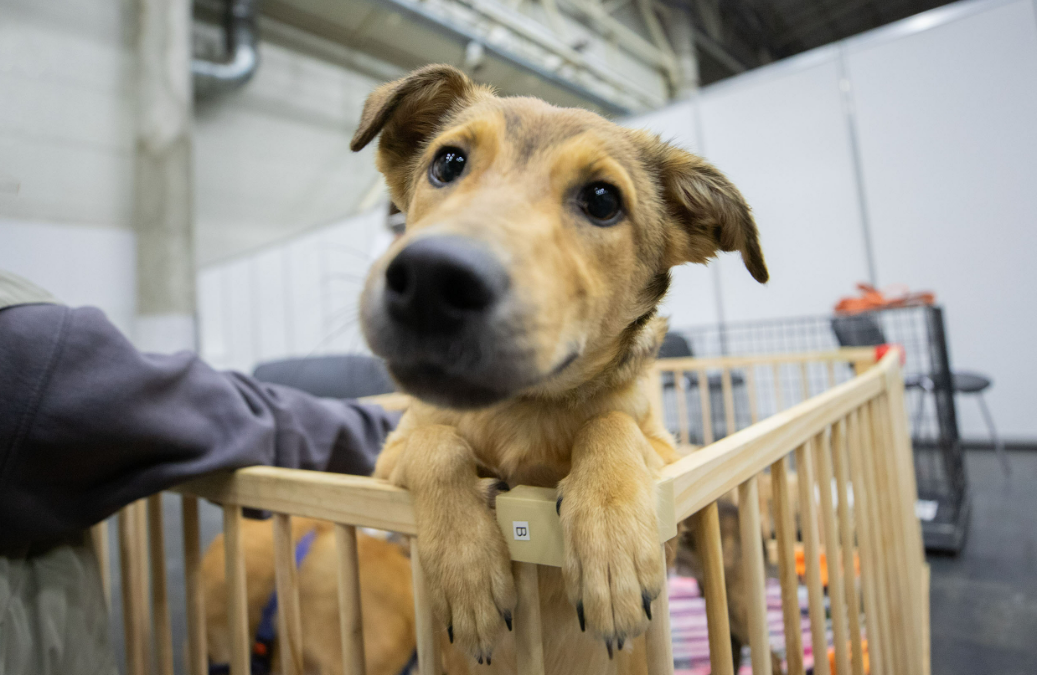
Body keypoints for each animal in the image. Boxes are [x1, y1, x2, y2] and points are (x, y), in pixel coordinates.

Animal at [206, 61, 767, 671]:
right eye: (448, 162)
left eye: (602, 200)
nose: (431, 280)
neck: (519, 410)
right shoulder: (387, 463)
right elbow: (437, 445)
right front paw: (468, 574)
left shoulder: (676, 463)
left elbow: (610, 425)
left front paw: (610, 548)